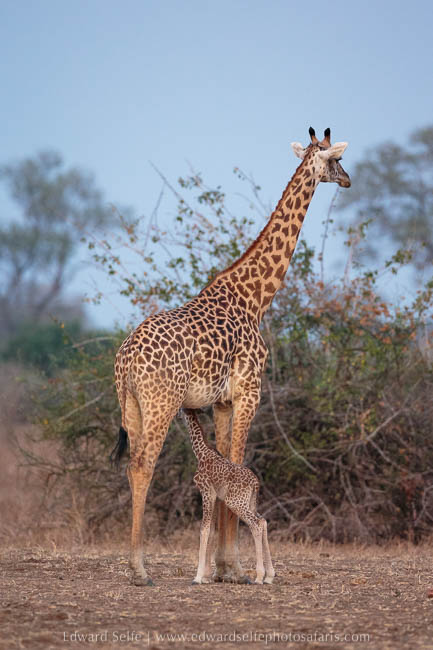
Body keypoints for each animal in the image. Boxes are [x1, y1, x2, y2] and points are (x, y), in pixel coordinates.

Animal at [182, 408, 275, 585]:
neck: (200, 452)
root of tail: (255, 483)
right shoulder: (216, 497)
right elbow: (212, 530)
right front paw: (206, 577)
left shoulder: (206, 491)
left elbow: (204, 529)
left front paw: (197, 577)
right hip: (250, 502)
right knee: (263, 521)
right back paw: (269, 576)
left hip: (235, 503)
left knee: (256, 524)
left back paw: (259, 577)